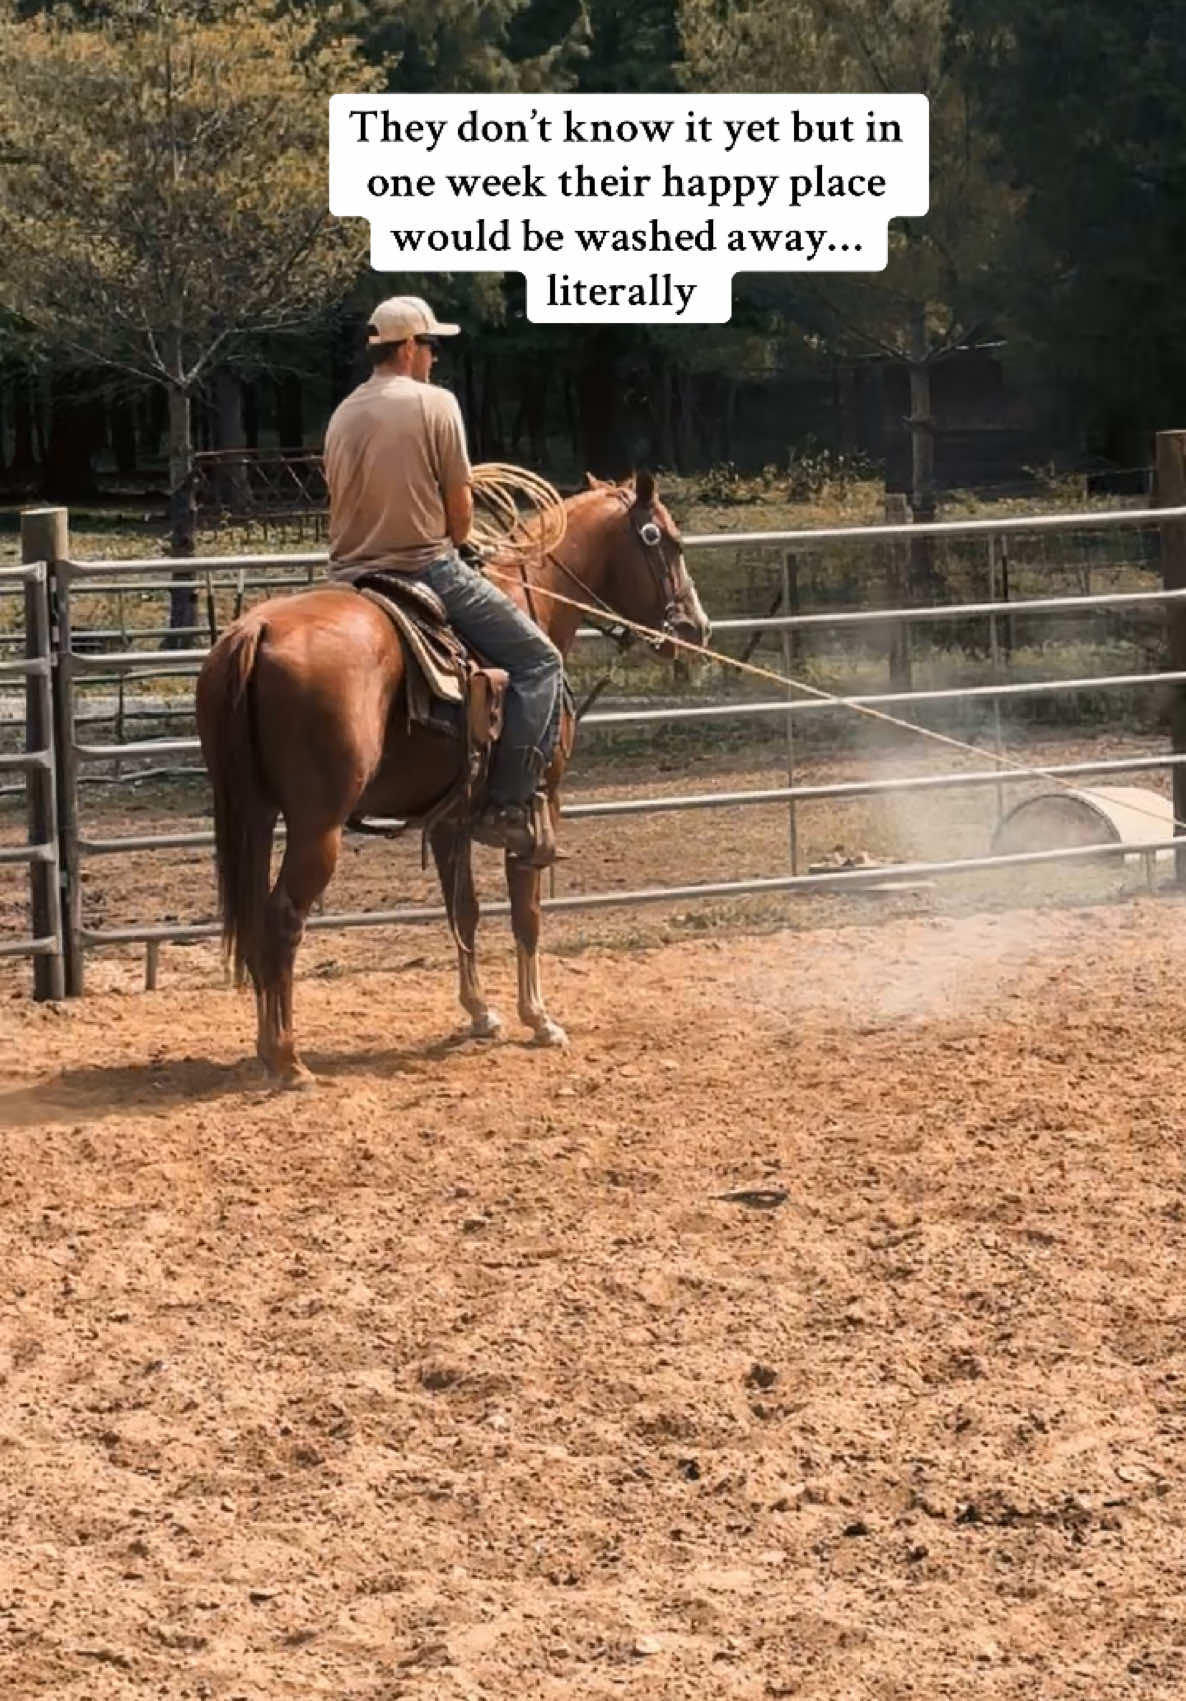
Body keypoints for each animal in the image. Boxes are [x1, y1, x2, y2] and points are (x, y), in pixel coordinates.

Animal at [195, 472, 707, 1081]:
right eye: (668, 542)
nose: (696, 629)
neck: (533, 596)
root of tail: (258, 628)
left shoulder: (450, 818)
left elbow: (464, 908)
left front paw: (481, 1013)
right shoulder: (539, 807)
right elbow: (526, 912)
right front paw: (540, 1018)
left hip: (251, 812)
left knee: (252, 919)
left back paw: (263, 1045)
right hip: (316, 828)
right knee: (282, 920)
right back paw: (288, 1057)